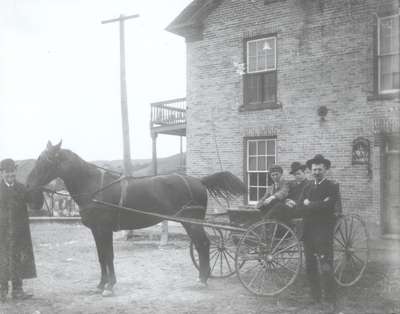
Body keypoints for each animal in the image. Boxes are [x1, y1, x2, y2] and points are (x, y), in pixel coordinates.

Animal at [26, 141, 245, 296]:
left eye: (45, 162)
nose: (29, 189)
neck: (94, 187)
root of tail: (198, 181)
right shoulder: (97, 231)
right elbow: (101, 257)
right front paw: (101, 285)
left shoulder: (104, 230)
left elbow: (109, 256)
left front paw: (109, 287)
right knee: (202, 246)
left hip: (192, 223)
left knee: (203, 245)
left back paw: (202, 279)